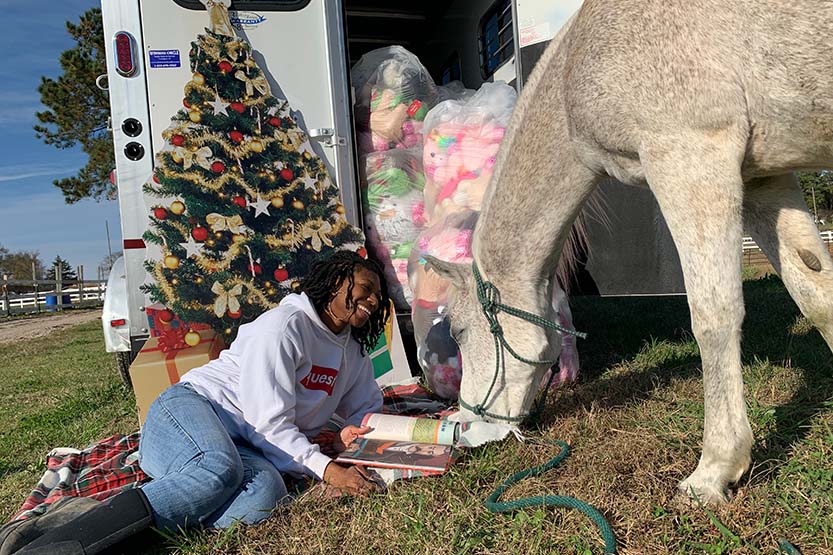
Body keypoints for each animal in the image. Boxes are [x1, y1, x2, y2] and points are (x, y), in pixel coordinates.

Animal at [426, 0, 832, 504]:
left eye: (459, 333)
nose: (464, 428)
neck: (578, 67)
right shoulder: (762, 179)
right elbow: (816, 293)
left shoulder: (690, 156)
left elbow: (713, 316)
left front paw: (714, 470)